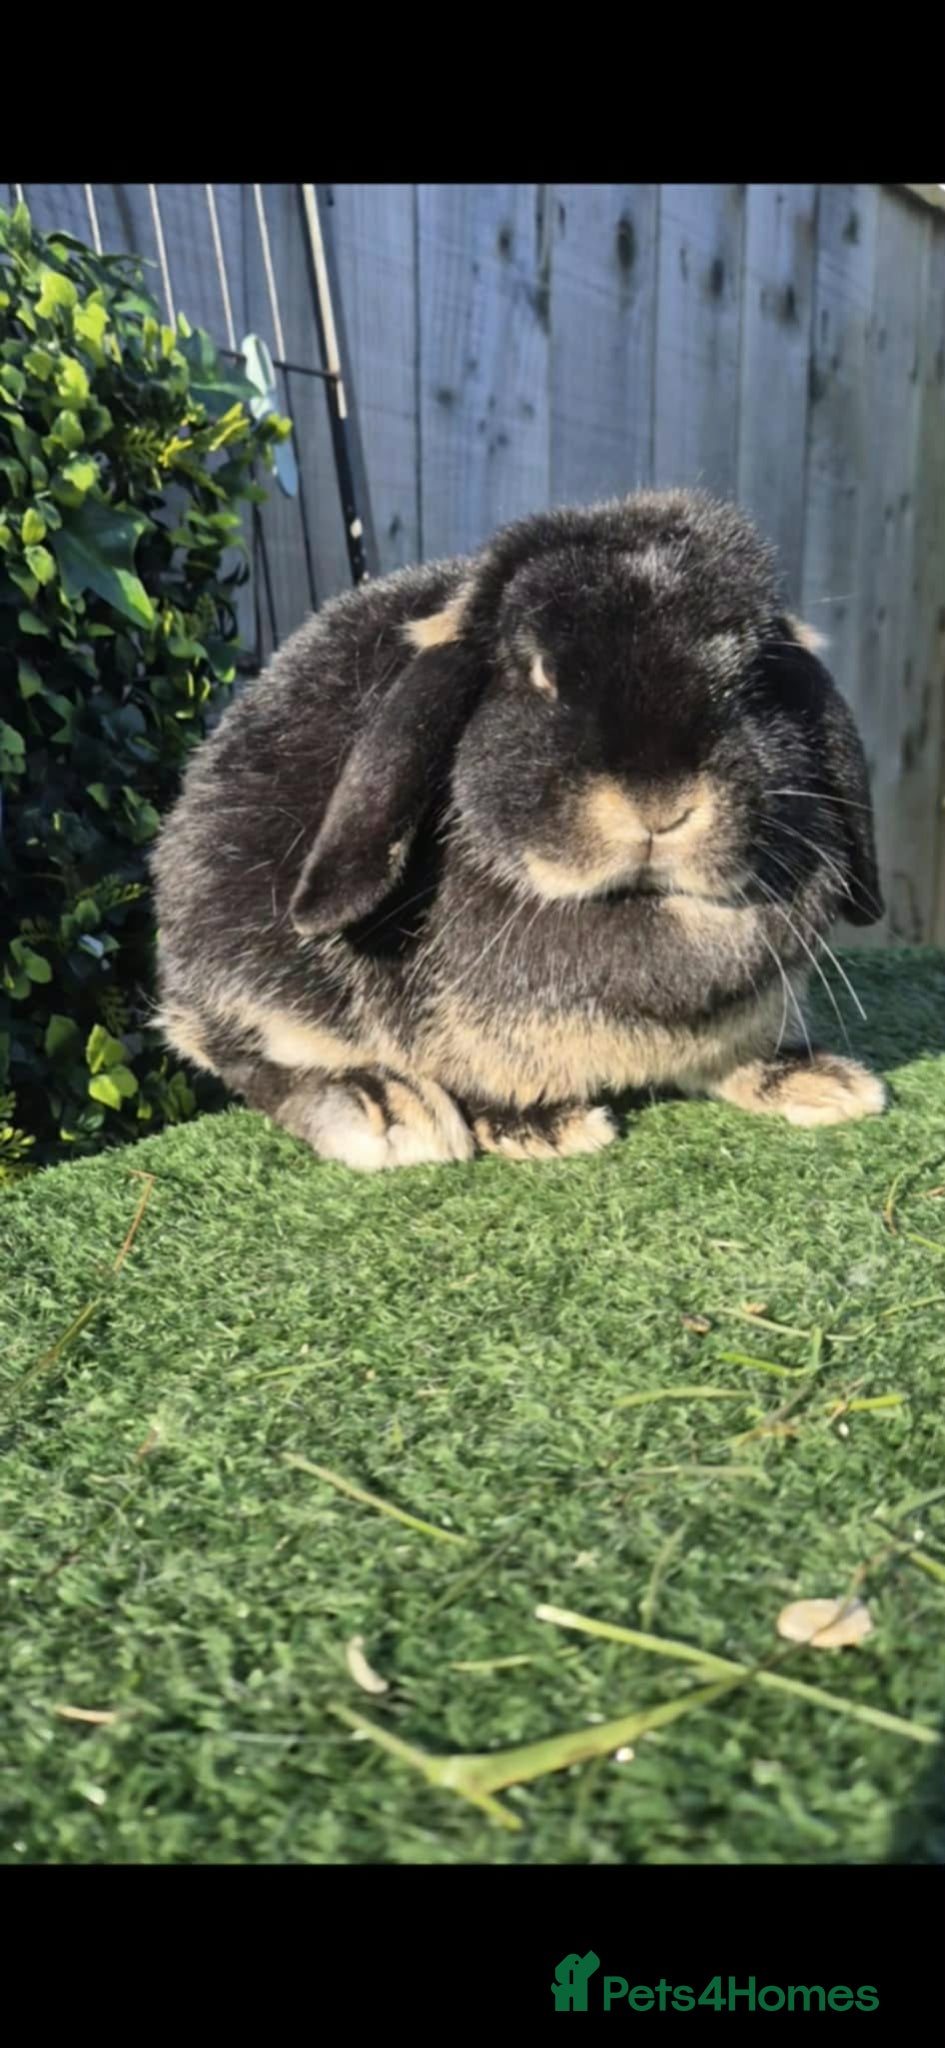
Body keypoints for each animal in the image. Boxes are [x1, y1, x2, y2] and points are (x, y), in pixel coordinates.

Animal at [152, 488, 886, 1169]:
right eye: (538, 674)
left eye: (751, 687)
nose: (659, 802)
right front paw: (543, 1127)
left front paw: (816, 1081)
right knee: (243, 1052)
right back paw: (388, 1110)